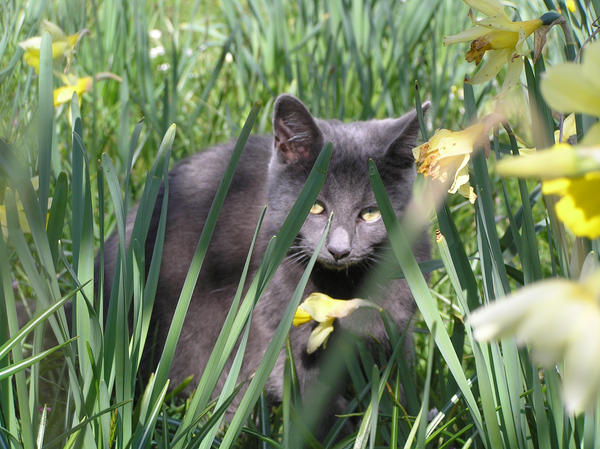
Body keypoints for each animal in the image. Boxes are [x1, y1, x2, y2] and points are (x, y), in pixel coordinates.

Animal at [101, 93, 426, 420]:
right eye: (316, 207)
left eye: (370, 213)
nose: (338, 249)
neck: (345, 289)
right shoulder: (285, 332)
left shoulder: (397, 327)